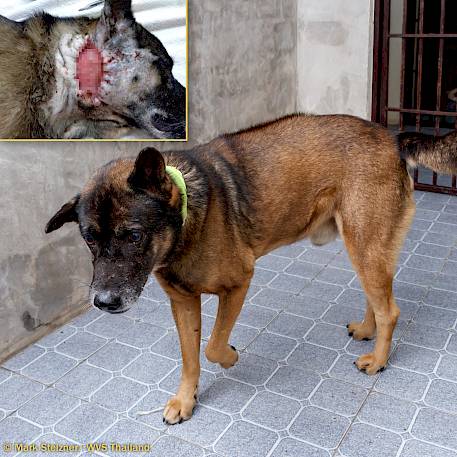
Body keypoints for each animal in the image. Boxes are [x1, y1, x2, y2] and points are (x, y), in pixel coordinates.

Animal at [44, 114, 454, 424]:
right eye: (89, 238)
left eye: (133, 235)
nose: (103, 302)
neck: (188, 221)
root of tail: (391, 137)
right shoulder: (183, 303)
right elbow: (190, 358)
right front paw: (186, 400)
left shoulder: (238, 284)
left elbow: (212, 347)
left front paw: (231, 356)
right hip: (364, 246)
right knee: (378, 298)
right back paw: (368, 330)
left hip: (364, 243)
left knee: (390, 309)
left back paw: (379, 361)